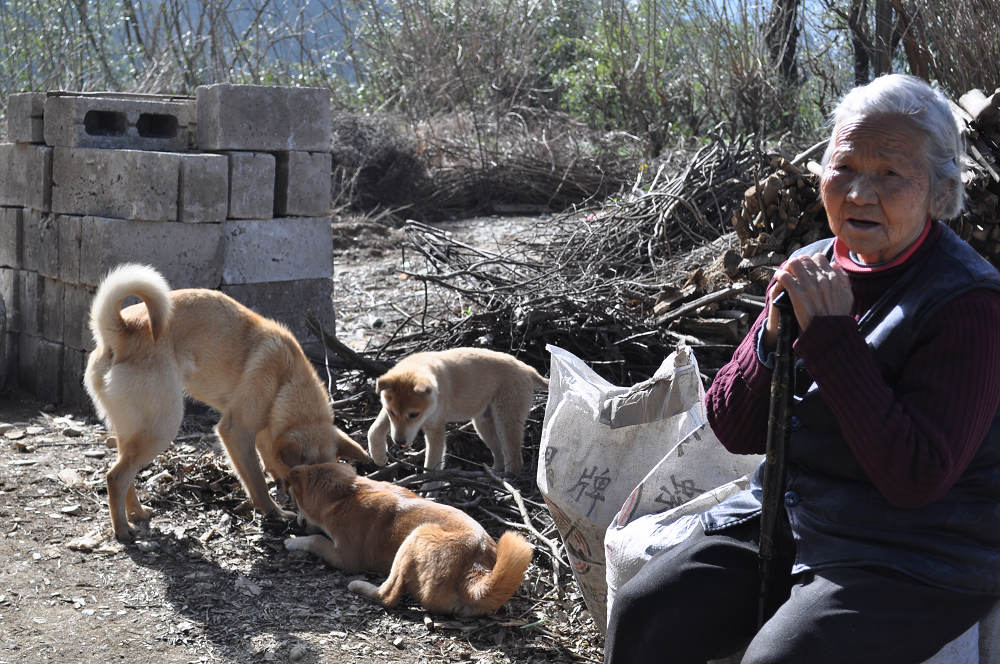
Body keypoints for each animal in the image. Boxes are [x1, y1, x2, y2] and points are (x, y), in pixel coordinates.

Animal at [84, 262, 370, 544]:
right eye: (304, 492)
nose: (313, 528)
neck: (286, 380)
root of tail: (122, 331)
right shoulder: (236, 432)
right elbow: (255, 480)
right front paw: (273, 512)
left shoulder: (263, 434)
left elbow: (266, 463)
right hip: (161, 429)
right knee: (116, 476)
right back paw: (123, 529)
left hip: (133, 431)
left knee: (124, 473)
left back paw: (137, 512)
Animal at [284, 460, 532, 616]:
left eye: (294, 500)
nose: (296, 521)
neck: (347, 494)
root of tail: (475, 567)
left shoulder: (345, 557)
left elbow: (316, 540)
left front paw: (293, 541)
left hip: (416, 535)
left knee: (388, 596)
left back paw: (360, 586)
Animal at [368, 348, 548, 472]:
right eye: (393, 413)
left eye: (414, 415)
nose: (399, 442)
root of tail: (527, 369)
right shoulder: (387, 412)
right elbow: (373, 430)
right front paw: (379, 456)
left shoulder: (435, 428)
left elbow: (432, 466)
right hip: (483, 424)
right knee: (500, 454)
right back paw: (493, 473)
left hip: (506, 421)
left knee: (515, 460)